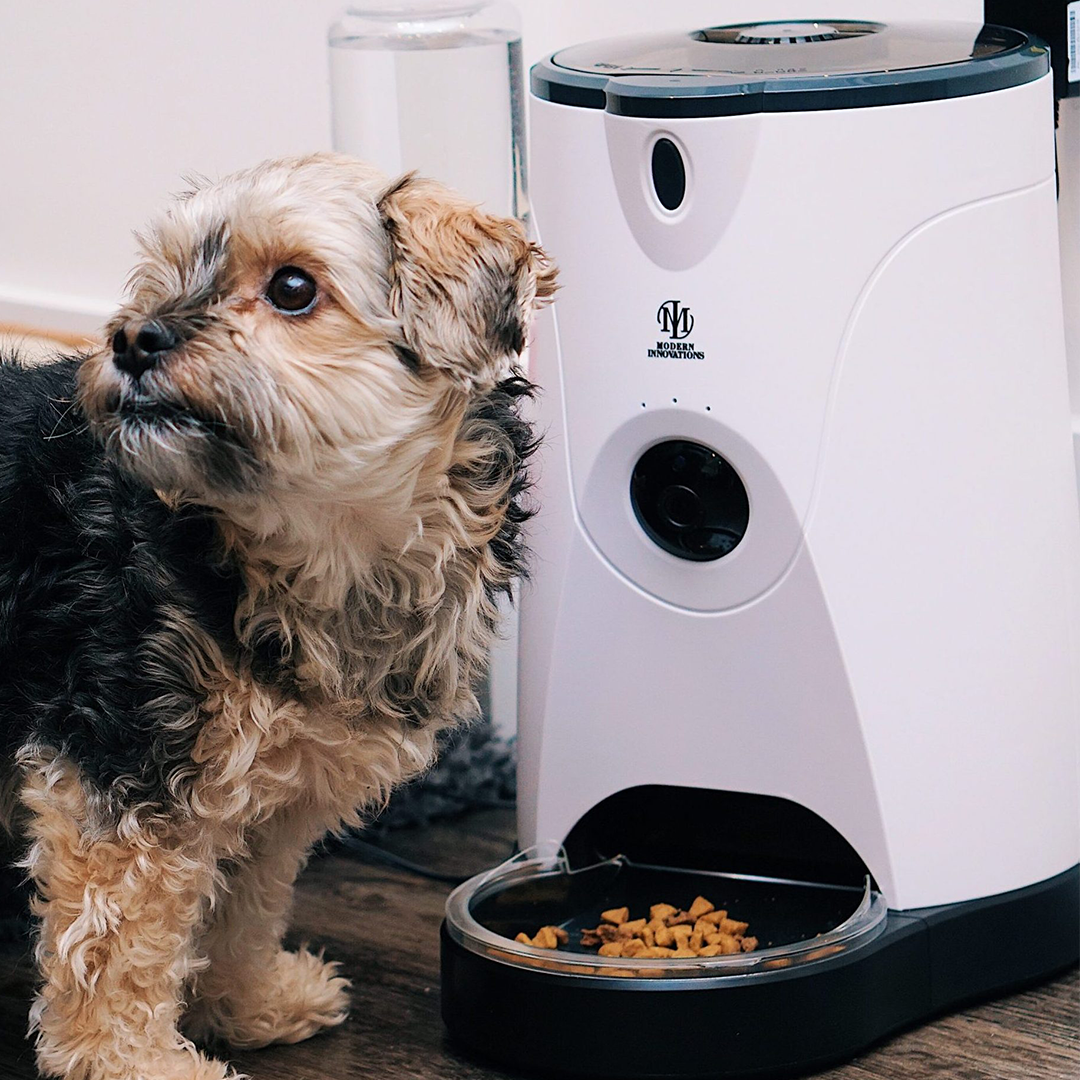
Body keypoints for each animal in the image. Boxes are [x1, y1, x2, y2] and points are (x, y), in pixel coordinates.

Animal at [0, 154, 557, 1080]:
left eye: (294, 288)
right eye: (163, 276)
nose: (131, 338)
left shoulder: (273, 788)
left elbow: (241, 903)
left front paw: (247, 1004)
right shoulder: (125, 758)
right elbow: (115, 936)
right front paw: (132, 1062)